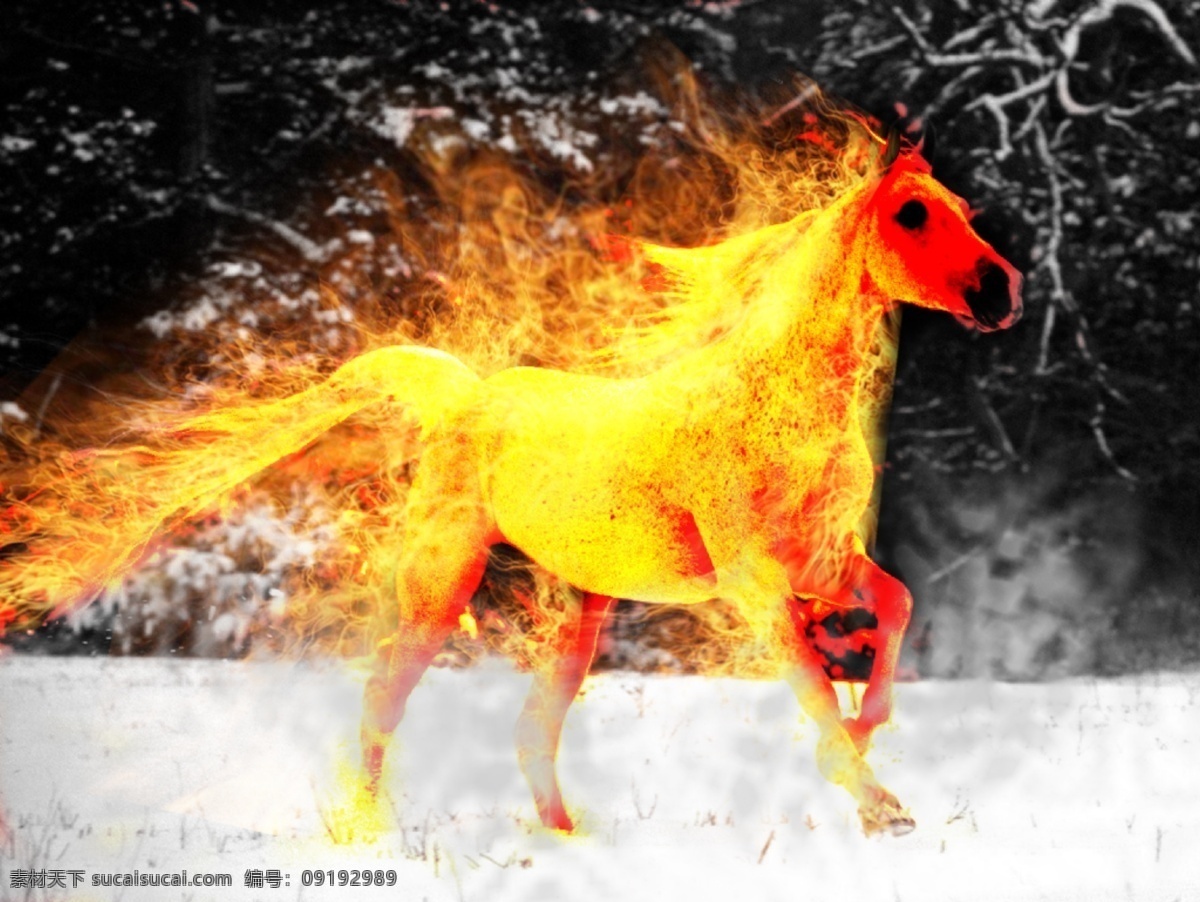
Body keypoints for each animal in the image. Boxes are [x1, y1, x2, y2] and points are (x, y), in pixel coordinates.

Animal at [0, 136, 1021, 838]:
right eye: (913, 215)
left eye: (962, 206)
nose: (1000, 290)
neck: (773, 407)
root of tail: (461, 392)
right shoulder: (757, 586)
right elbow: (813, 683)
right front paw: (879, 803)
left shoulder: (822, 566)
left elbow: (894, 610)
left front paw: (868, 742)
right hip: (440, 577)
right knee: (385, 698)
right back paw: (369, 832)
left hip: (578, 609)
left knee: (532, 730)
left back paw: (567, 843)